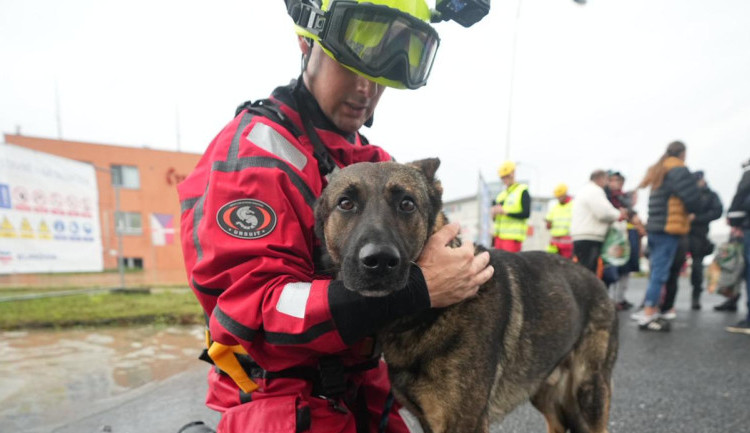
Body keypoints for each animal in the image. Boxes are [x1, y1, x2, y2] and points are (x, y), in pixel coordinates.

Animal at [314, 159, 620, 432]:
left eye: (407, 204)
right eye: (345, 203)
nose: (379, 261)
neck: (429, 313)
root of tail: (596, 279)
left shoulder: (463, 423)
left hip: (588, 395)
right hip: (544, 388)